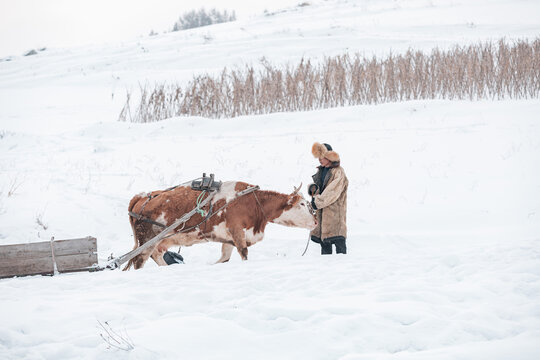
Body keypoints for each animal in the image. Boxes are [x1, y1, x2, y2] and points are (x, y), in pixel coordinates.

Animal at [122, 181, 316, 268]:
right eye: (302, 204)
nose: (315, 221)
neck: (252, 201)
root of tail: (142, 196)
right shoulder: (237, 230)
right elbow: (244, 253)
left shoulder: (227, 237)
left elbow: (224, 258)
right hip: (148, 239)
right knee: (139, 261)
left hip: (159, 241)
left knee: (156, 255)